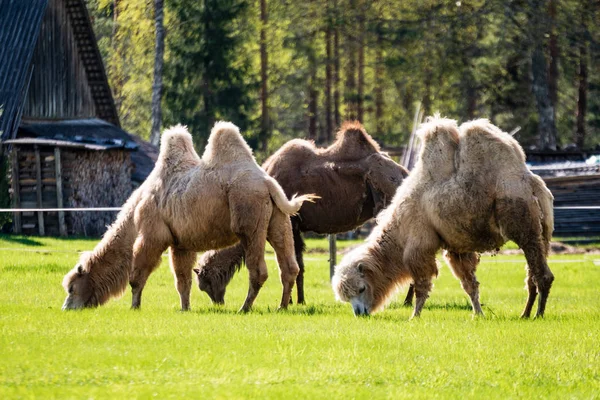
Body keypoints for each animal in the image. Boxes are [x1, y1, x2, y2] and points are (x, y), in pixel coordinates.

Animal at [63, 122, 318, 312]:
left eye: (71, 287)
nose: (66, 307)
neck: (135, 212)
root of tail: (267, 183)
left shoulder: (153, 233)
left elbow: (137, 274)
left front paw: (134, 306)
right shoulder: (180, 242)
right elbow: (182, 279)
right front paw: (185, 308)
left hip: (248, 210)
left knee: (258, 269)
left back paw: (244, 308)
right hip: (279, 218)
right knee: (289, 265)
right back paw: (281, 306)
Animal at [195, 120, 410, 304]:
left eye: (205, 283)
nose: (218, 303)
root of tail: (404, 173)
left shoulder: (292, 222)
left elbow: (295, 261)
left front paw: (294, 301)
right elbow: (299, 263)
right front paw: (299, 300)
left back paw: (407, 301)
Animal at [330, 115, 556, 318]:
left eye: (361, 288)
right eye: (346, 297)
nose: (360, 313)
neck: (400, 229)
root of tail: (532, 184)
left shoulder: (420, 246)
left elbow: (422, 285)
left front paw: (414, 316)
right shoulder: (457, 248)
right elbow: (469, 284)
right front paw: (478, 314)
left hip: (522, 223)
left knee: (542, 274)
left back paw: (538, 314)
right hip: (542, 230)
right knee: (532, 274)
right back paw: (525, 314)